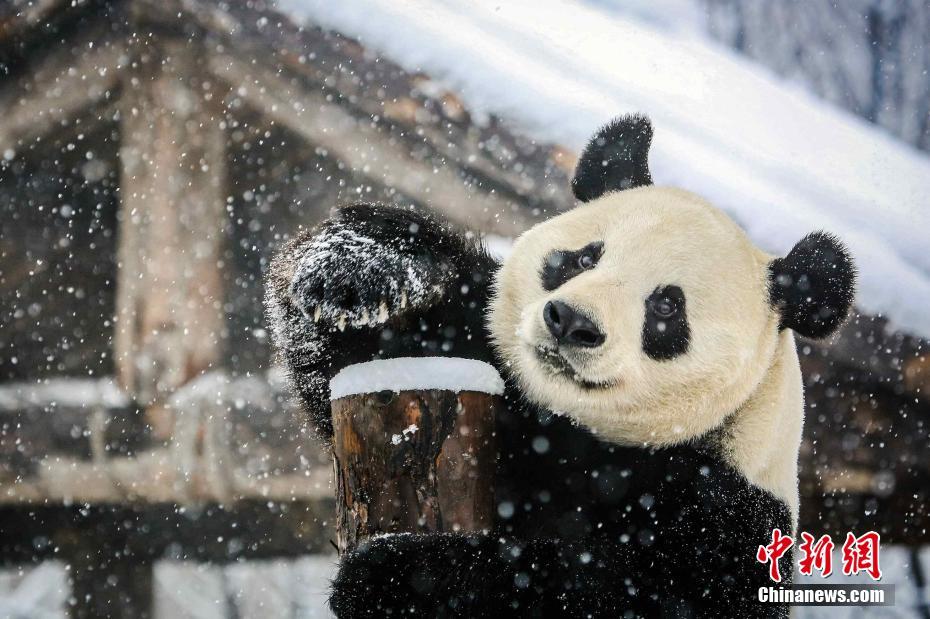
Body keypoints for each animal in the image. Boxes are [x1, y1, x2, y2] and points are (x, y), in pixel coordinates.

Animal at [265, 114, 856, 618]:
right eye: (583, 257)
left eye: (667, 306)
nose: (571, 321)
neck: (581, 431)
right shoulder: (492, 366)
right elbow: (366, 351)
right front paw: (357, 272)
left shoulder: (729, 515)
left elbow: (631, 592)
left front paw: (403, 577)